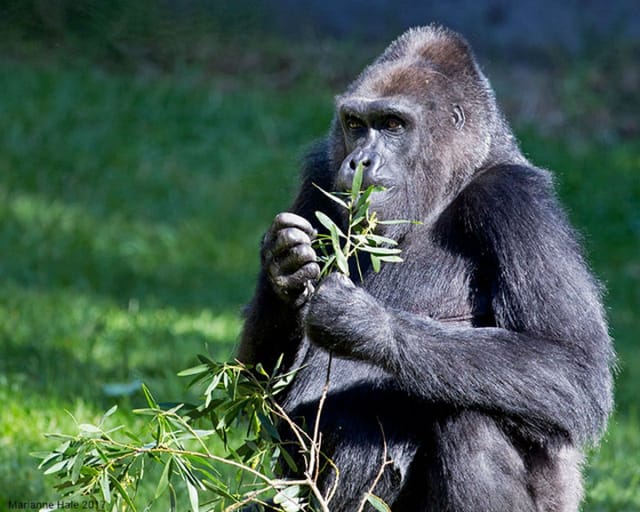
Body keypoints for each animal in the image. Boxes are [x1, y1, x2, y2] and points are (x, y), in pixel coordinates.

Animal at [236, 25, 616, 512]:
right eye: (355, 125)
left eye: (393, 125)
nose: (360, 162)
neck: (448, 184)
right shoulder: (319, 175)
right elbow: (255, 386)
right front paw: (284, 265)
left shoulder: (517, 201)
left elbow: (573, 366)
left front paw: (366, 324)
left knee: (471, 422)